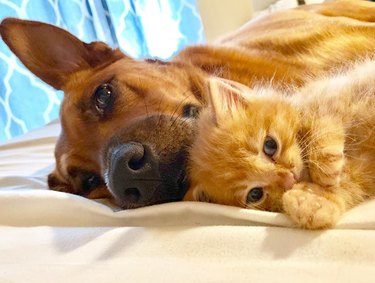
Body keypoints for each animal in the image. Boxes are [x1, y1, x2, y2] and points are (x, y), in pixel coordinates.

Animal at [186, 60, 375, 231]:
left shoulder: (332, 93)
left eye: (270, 146)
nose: (289, 177)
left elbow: (322, 119)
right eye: (255, 194)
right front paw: (310, 201)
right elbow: (345, 191)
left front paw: (324, 168)